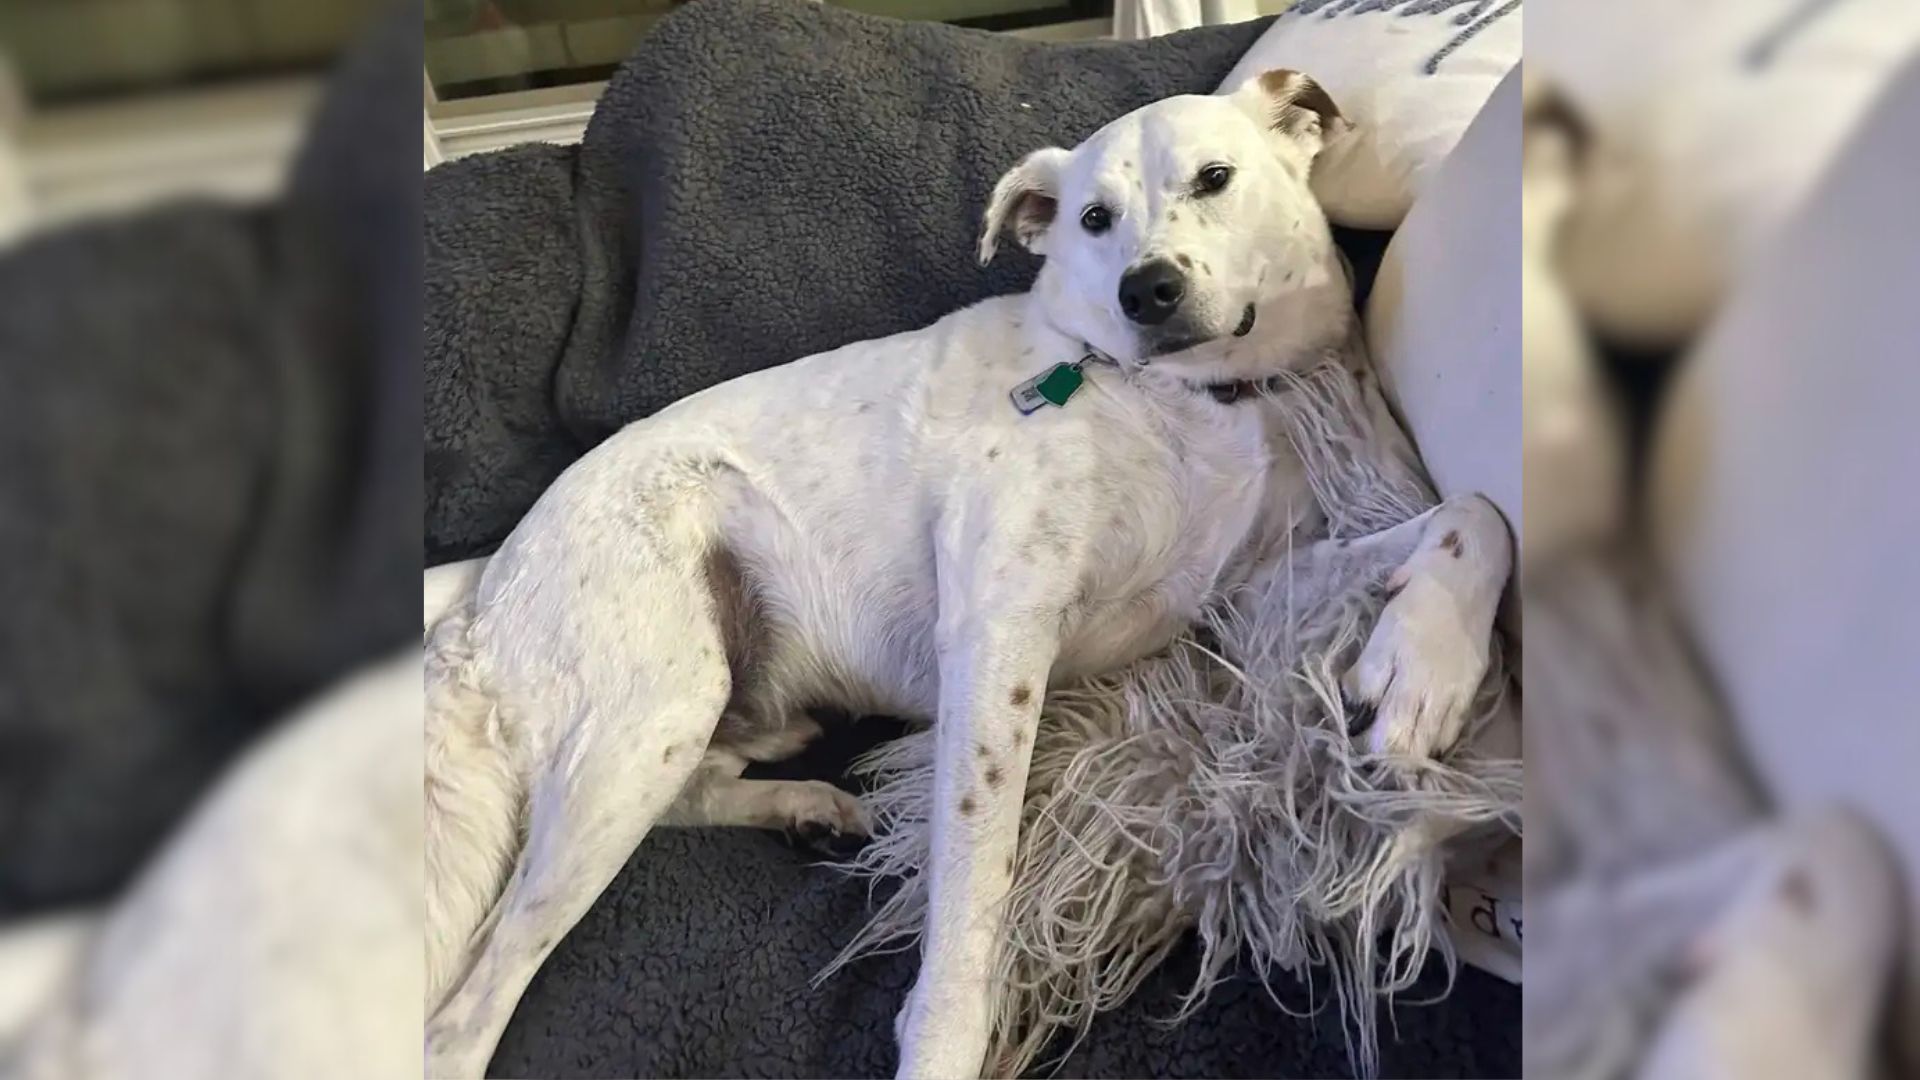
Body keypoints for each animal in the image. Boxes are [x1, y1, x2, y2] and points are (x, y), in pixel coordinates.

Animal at [420, 71, 1512, 1068]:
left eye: (1215, 178)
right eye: (1093, 218)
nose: (1146, 290)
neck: (1181, 401)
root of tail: (482, 603)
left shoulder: (1243, 597)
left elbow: (1475, 515)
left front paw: (1428, 669)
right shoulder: (1000, 637)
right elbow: (975, 885)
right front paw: (943, 1041)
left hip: (679, 720)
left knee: (700, 786)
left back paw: (803, 805)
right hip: (650, 712)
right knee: (464, 1011)